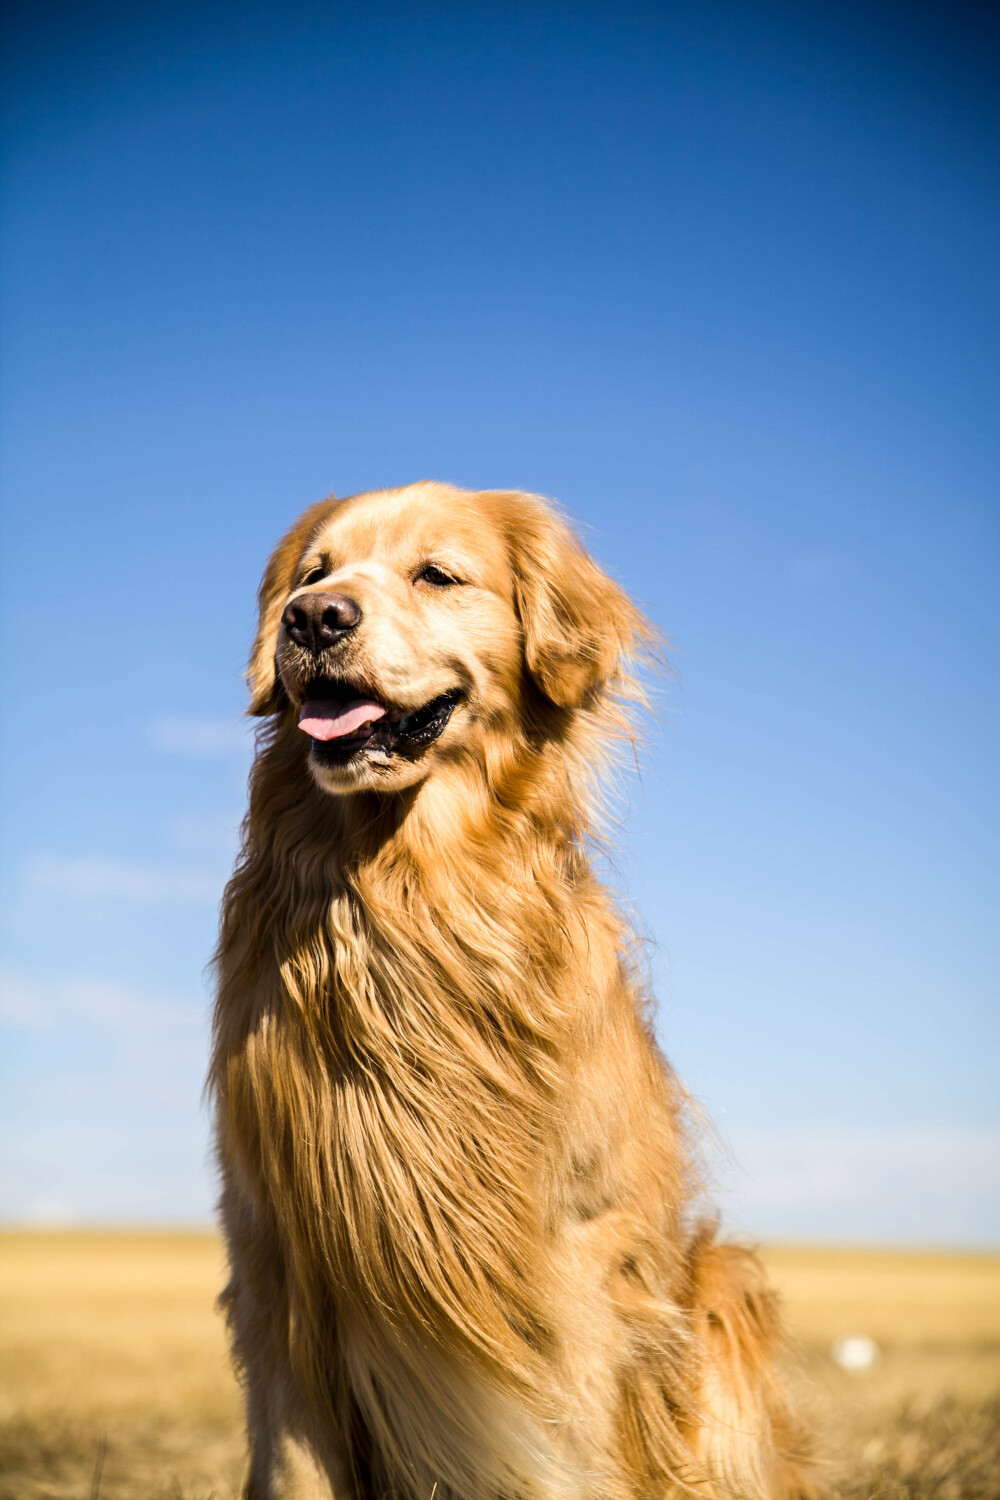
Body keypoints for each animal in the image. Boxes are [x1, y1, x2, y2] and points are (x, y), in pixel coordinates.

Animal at [211, 483, 821, 1500]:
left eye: (438, 575)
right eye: (314, 573)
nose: (314, 619)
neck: (408, 895)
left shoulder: (578, 1268)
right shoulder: (280, 1263)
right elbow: (295, 1461)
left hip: (723, 1290)